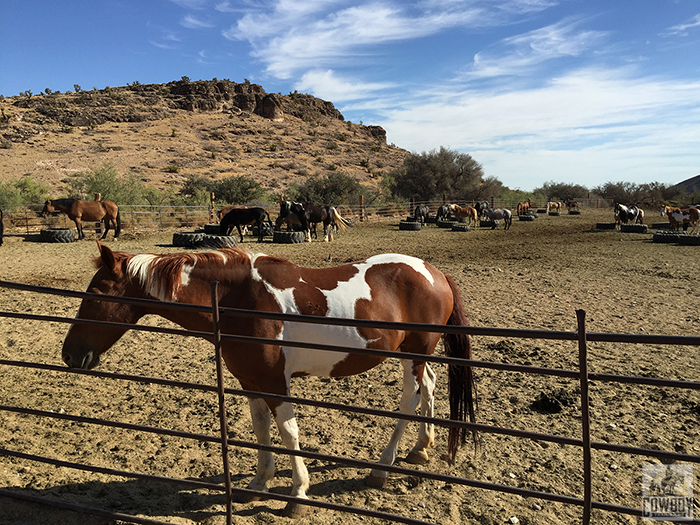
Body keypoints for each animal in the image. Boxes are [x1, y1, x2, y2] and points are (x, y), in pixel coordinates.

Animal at [63, 243, 478, 516]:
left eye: (95, 294)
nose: (70, 355)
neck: (237, 299)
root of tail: (435, 273)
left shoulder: (277, 383)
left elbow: (288, 432)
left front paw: (298, 495)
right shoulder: (252, 381)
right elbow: (261, 428)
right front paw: (259, 483)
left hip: (414, 352)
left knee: (410, 398)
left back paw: (381, 468)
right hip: (417, 354)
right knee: (430, 384)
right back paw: (421, 447)